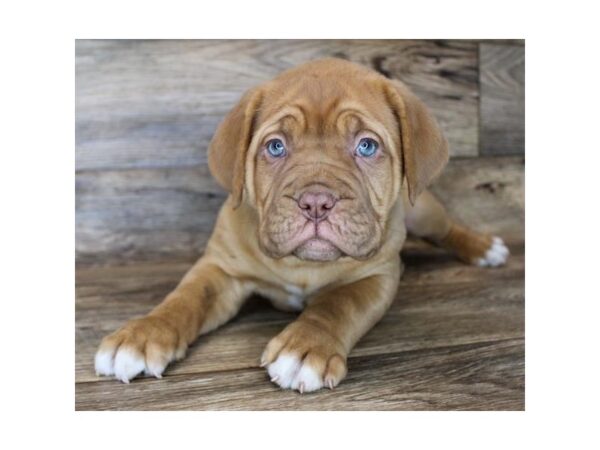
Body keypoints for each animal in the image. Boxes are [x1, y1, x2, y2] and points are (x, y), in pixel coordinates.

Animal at [96, 58, 508, 392]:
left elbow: (338, 304)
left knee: (446, 228)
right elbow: (185, 298)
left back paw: (484, 248)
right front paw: (142, 334)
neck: (301, 264)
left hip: (421, 209)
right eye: (275, 147)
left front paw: (306, 348)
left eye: (367, 146)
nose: (316, 202)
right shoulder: (221, 267)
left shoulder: (376, 276)